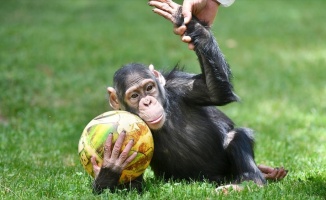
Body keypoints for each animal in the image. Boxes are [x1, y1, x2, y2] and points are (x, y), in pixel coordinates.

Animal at [90, 0, 286, 194]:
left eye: (149, 88)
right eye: (134, 95)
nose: (147, 102)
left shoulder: (180, 86)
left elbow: (216, 92)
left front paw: (185, 19)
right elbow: (133, 187)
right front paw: (111, 165)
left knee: (236, 136)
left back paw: (251, 181)